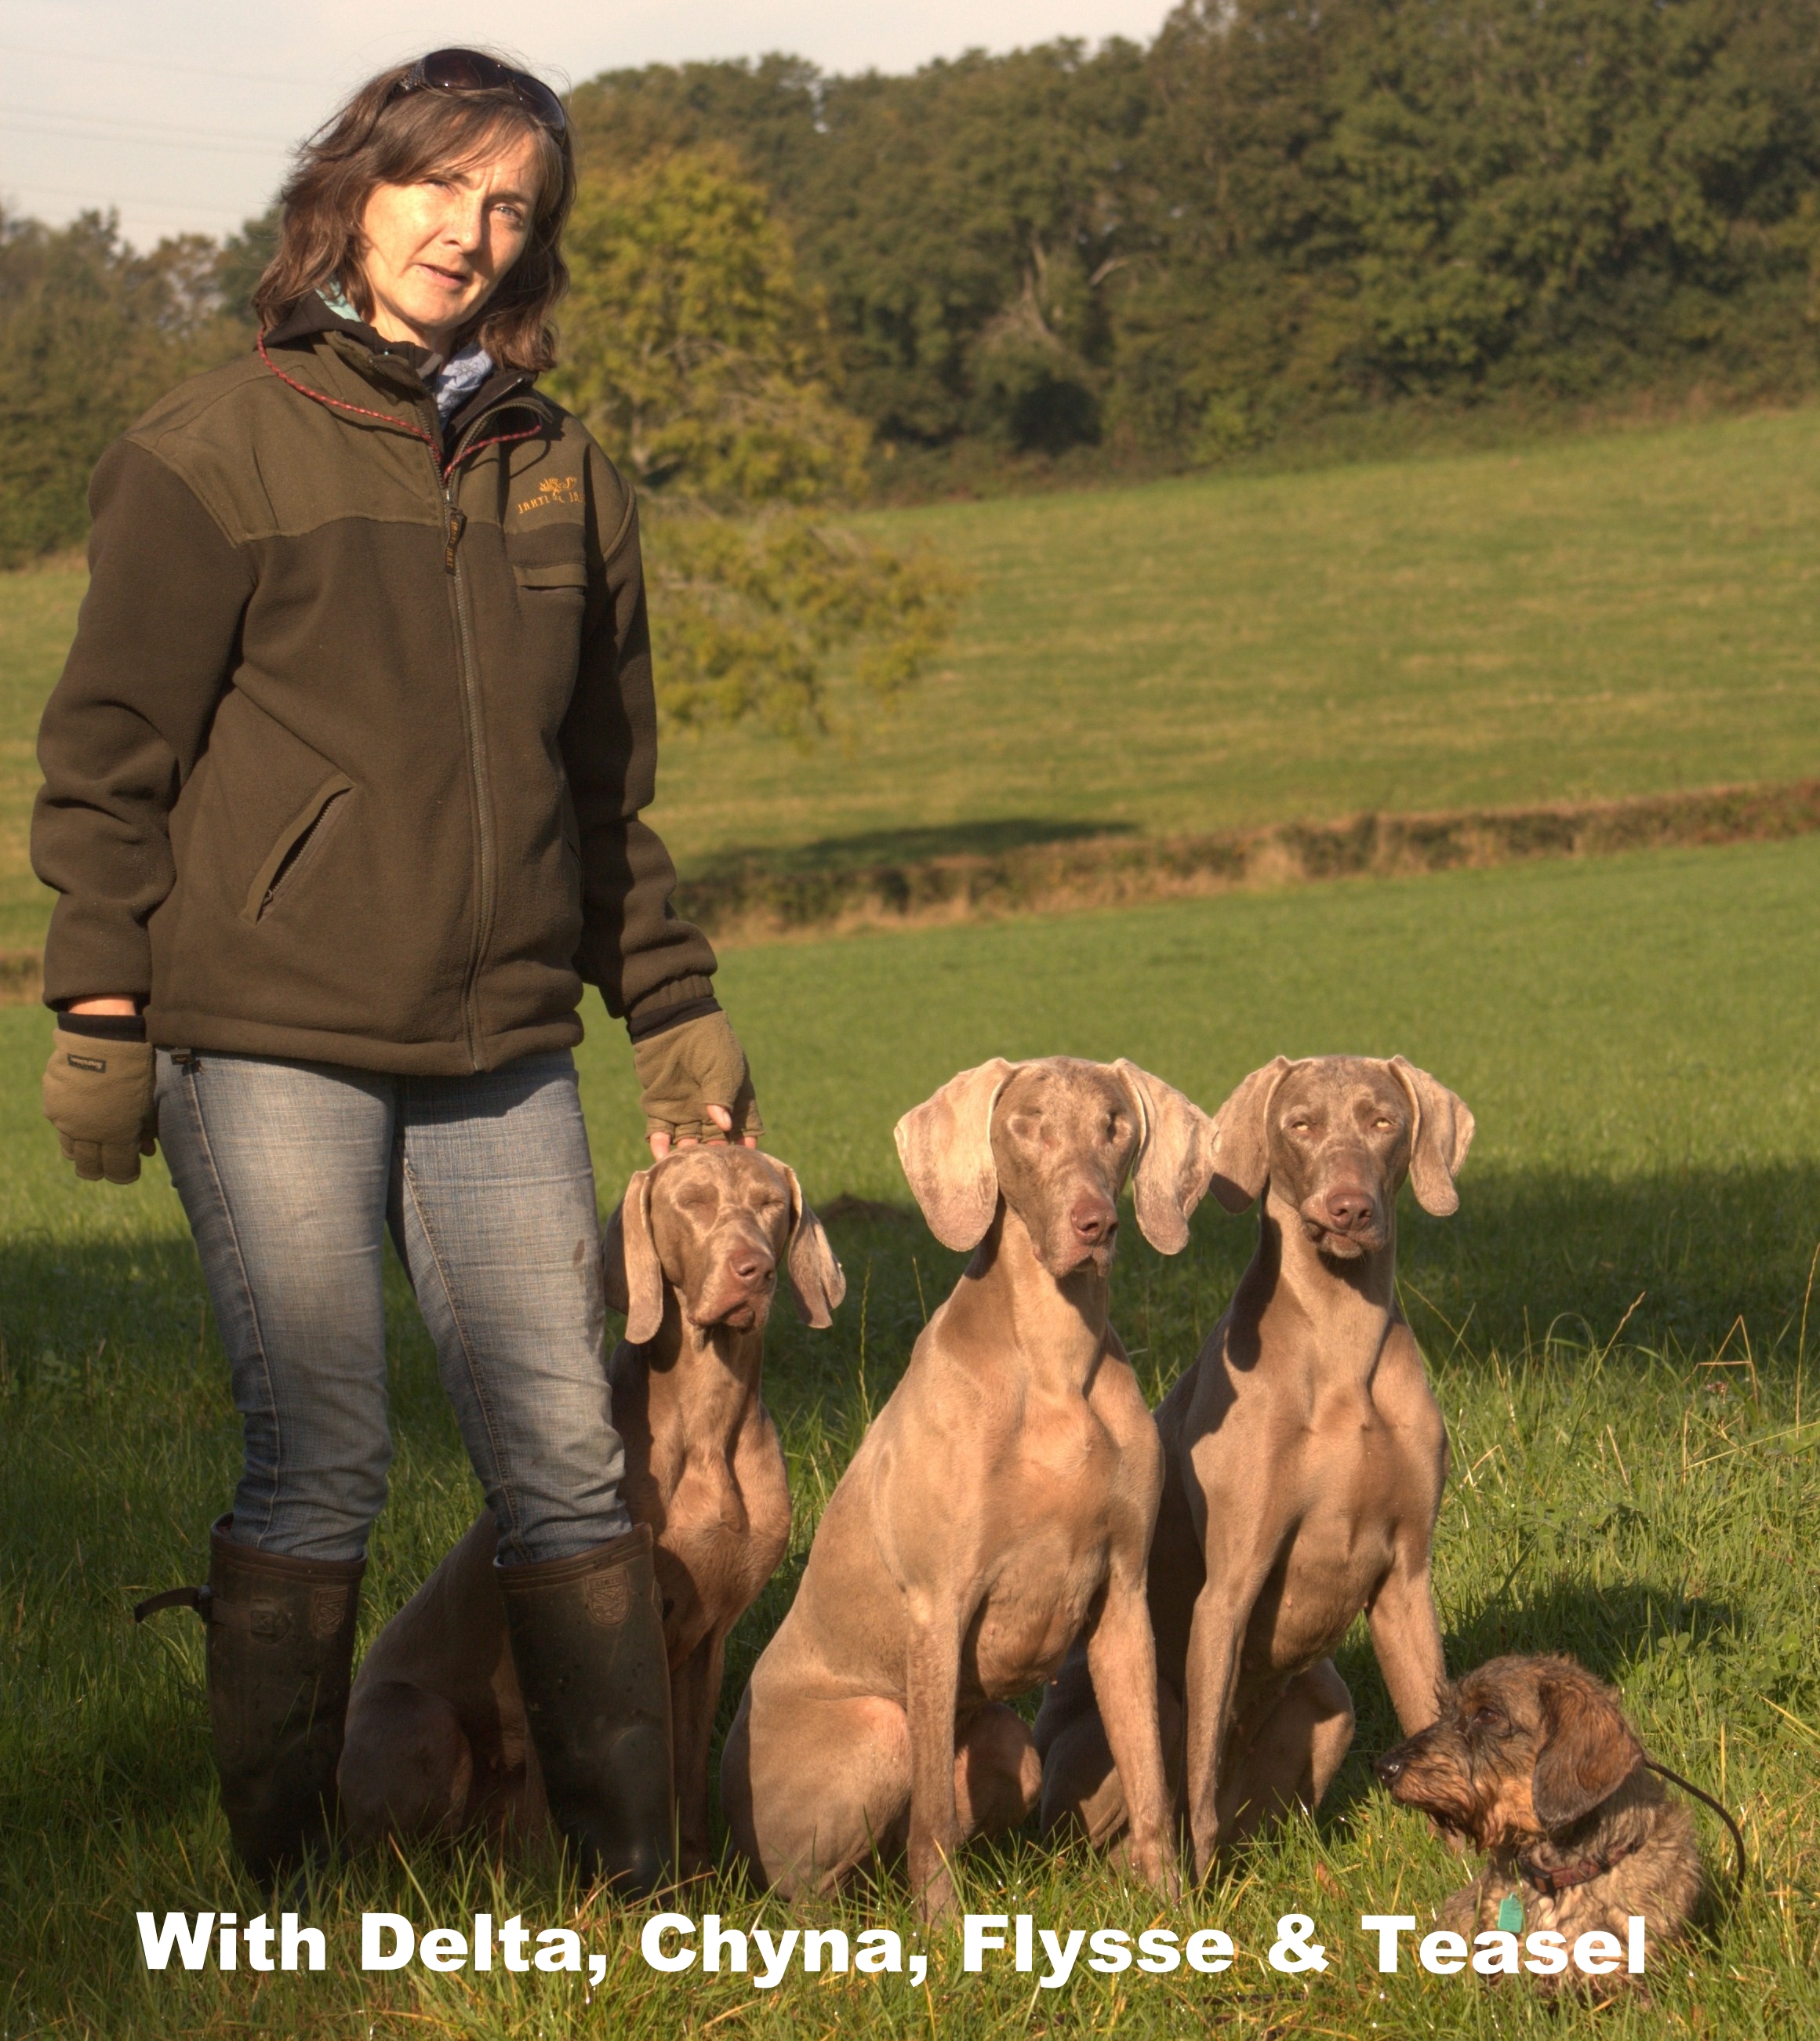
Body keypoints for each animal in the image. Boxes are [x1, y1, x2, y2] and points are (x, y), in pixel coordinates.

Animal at [338, 1142, 841, 1869]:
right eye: (692, 1201)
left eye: (771, 1202)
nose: (755, 1269)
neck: (710, 1419)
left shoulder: (708, 1637)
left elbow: (686, 1770)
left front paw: (692, 1874)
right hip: (422, 1721)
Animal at [717, 1061, 1215, 1918]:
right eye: (1025, 1124)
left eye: (1114, 1123)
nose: (1094, 1223)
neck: (1054, 1361)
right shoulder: (937, 1605)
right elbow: (933, 1824)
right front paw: (945, 1929)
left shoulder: (1123, 1594)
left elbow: (1150, 1776)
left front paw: (1170, 1913)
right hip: (876, 1728)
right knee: (815, 1884)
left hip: (1006, 1741)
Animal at [1032, 1053, 1469, 1877]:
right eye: (1299, 1123)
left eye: (1383, 1120)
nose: (1348, 1209)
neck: (1341, 1345)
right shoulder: (1228, 1588)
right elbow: (1198, 1775)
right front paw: (1198, 1893)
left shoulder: (1407, 1577)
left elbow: (1432, 1710)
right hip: (1141, 1715)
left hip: (1329, 1707)